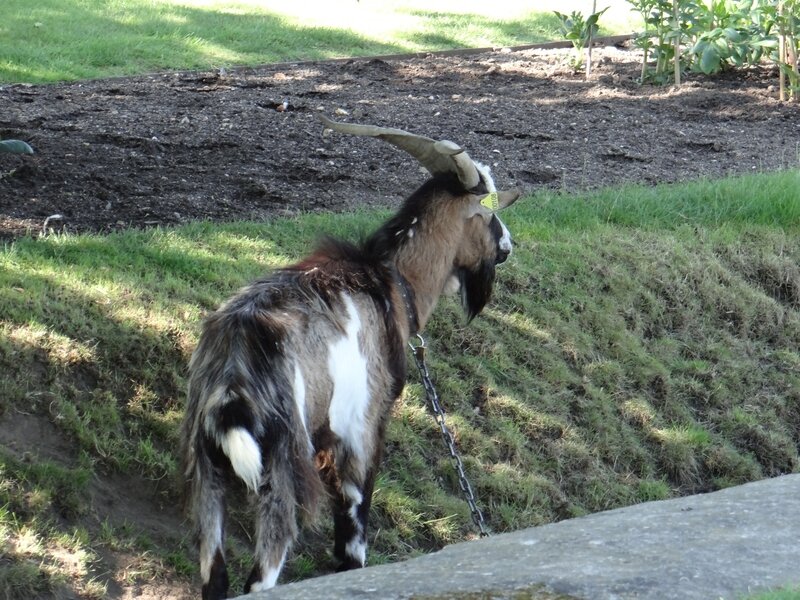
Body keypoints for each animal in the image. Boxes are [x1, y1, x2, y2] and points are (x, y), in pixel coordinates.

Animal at [180, 115, 520, 596]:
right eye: (489, 211)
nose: (507, 245)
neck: (393, 282)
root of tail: (235, 365)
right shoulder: (362, 427)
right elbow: (353, 536)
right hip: (282, 467)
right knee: (262, 575)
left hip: (207, 466)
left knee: (215, 573)